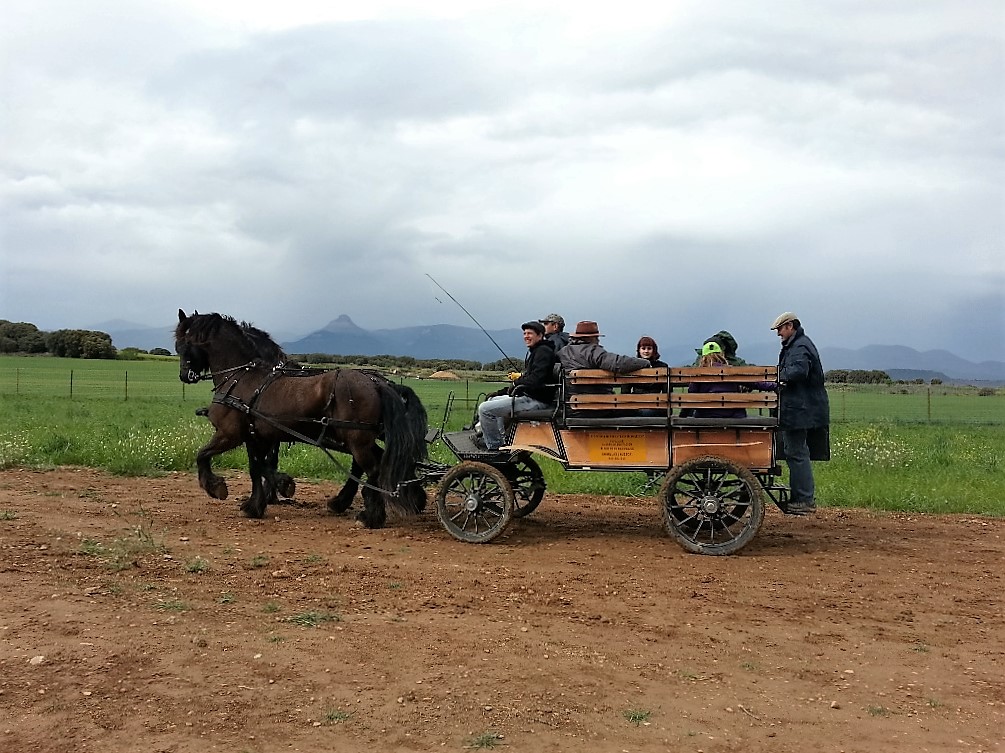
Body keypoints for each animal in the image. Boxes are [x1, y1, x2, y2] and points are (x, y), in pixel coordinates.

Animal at [176, 307, 428, 526]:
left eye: (182, 344)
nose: (185, 376)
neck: (241, 378)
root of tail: (377, 382)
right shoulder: (257, 437)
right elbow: (257, 468)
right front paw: (257, 503)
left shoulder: (230, 434)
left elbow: (203, 455)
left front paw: (217, 487)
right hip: (359, 439)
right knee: (377, 463)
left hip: (356, 439)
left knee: (373, 470)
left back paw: (370, 516)